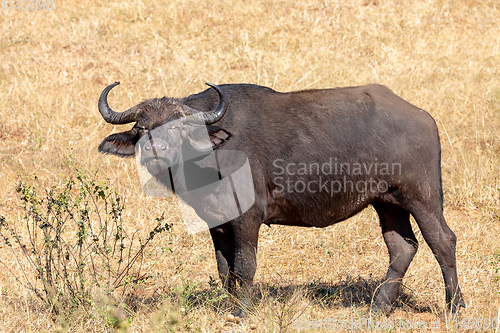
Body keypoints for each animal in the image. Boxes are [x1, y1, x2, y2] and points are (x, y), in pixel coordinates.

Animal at [96, 81, 464, 316]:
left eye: (177, 127)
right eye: (142, 128)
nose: (156, 150)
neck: (209, 155)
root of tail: (423, 117)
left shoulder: (248, 218)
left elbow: (245, 265)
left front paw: (243, 312)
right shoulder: (217, 222)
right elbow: (224, 268)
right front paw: (230, 307)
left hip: (422, 196)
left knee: (442, 240)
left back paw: (454, 306)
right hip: (386, 203)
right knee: (402, 247)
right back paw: (379, 307)